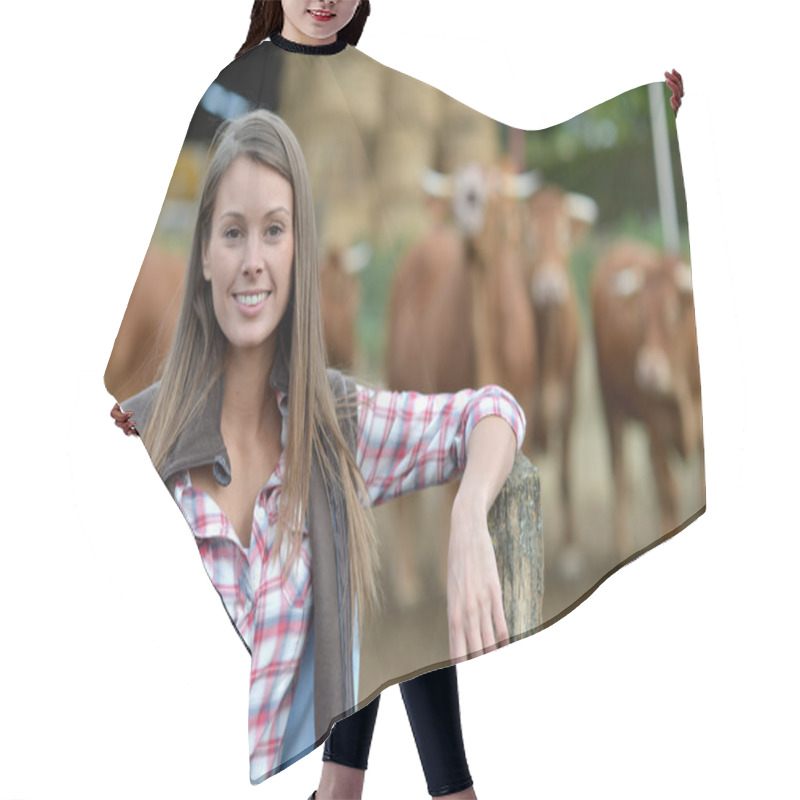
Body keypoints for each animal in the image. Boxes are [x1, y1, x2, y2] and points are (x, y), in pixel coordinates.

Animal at [592, 241, 704, 560]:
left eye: (672, 311)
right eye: (640, 313)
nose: (647, 371)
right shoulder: (657, 428)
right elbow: (668, 491)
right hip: (610, 406)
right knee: (620, 472)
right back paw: (623, 544)